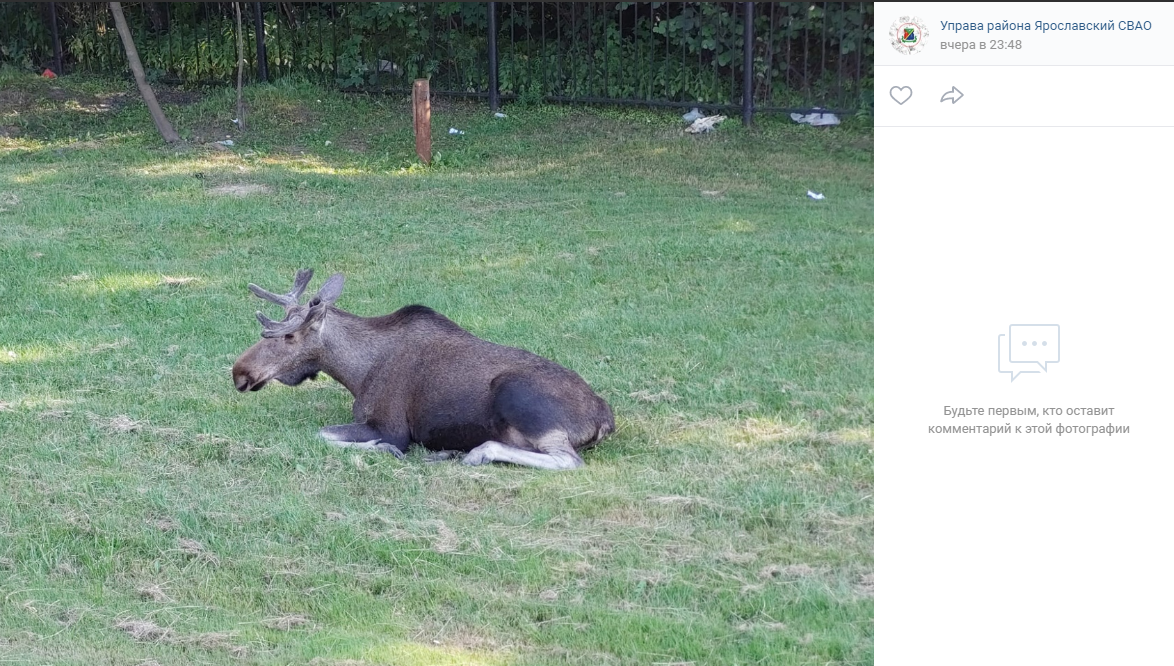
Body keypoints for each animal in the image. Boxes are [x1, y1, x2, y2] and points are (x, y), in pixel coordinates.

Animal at [230, 270, 615, 469]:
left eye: (289, 335)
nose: (240, 372)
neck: (356, 373)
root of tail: (604, 420)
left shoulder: (391, 427)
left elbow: (322, 435)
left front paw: (384, 450)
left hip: (520, 399)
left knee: (567, 460)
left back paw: (476, 452)